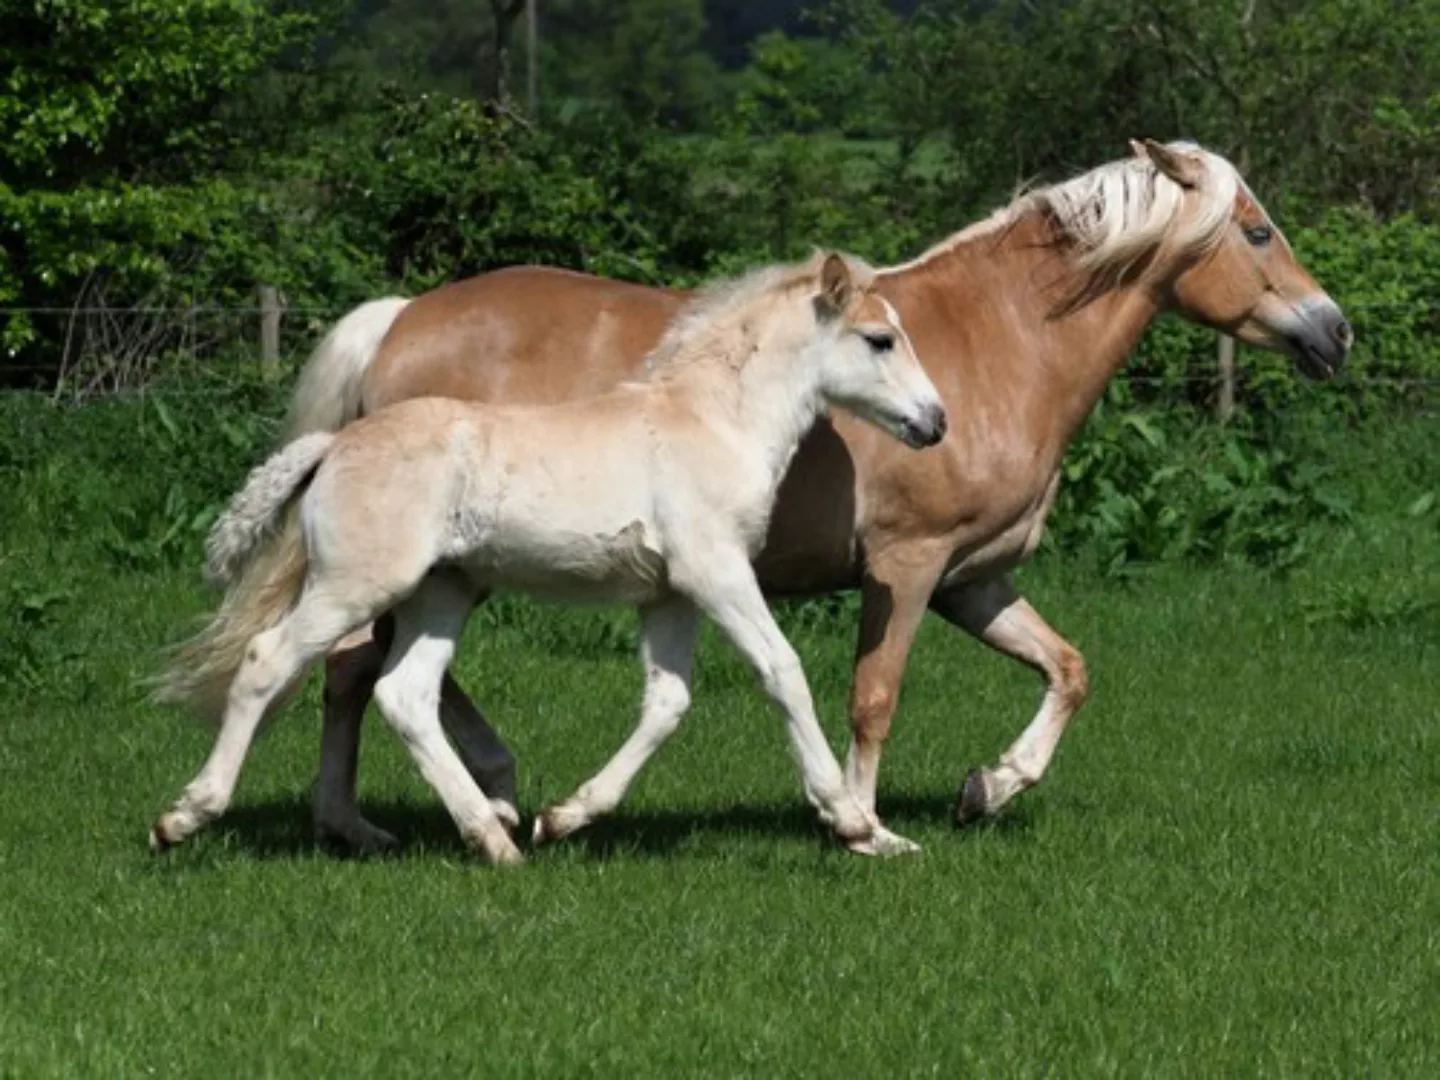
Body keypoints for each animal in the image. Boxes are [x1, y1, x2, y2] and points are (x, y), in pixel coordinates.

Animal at [154, 252, 944, 864]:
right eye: (880, 339)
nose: (934, 422)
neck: (712, 421)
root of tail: (333, 446)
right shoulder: (716, 572)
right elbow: (782, 670)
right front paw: (852, 823)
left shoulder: (668, 593)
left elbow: (667, 702)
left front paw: (563, 818)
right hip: (356, 584)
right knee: (268, 661)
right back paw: (184, 817)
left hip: (440, 594)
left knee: (405, 694)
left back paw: (494, 839)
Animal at [289, 141, 1347, 852]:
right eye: (1258, 230)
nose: (1333, 331)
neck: (994, 344)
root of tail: (401, 320)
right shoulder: (907, 567)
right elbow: (873, 697)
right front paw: (860, 819)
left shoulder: (971, 581)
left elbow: (1068, 670)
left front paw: (989, 788)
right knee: (353, 670)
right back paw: (387, 818)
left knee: (379, 673)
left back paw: (489, 796)